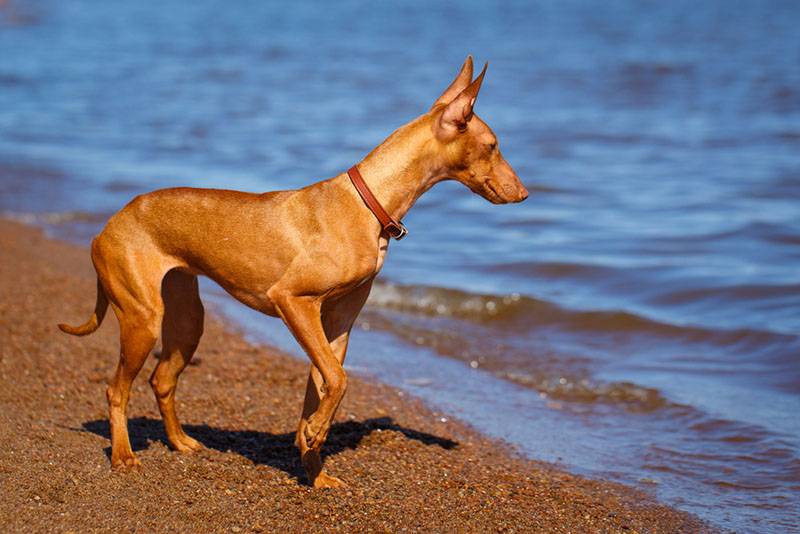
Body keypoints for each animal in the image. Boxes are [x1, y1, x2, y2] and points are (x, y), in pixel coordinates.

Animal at [61, 57, 524, 490]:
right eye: (493, 145)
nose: (524, 193)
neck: (368, 204)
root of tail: (109, 223)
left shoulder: (336, 323)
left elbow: (323, 386)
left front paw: (314, 466)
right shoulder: (294, 302)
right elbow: (338, 380)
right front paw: (315, 437)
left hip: (188, 319)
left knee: (161, 380)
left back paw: (179, 441)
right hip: (142, 318)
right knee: (116, 389)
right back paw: (123, 455)